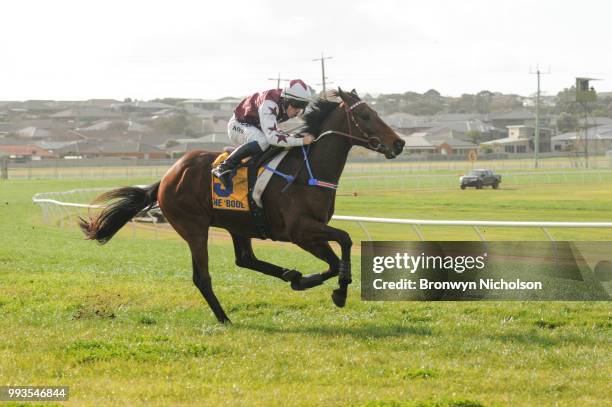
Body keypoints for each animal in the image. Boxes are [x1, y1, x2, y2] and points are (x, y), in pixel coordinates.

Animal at [81, 87, 406, 324]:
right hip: (194, 228)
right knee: (202, 277)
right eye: (364, 114)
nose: (399, 143)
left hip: (238, 224)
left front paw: (318, 284)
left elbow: (338, 255)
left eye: (375, 112)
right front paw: (337, 289)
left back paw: (290, 275)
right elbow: (343, 243)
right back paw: (224, 318)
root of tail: (167, 177)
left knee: (245, 259)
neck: (309, 170)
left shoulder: (311, 230)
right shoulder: (300, 231)